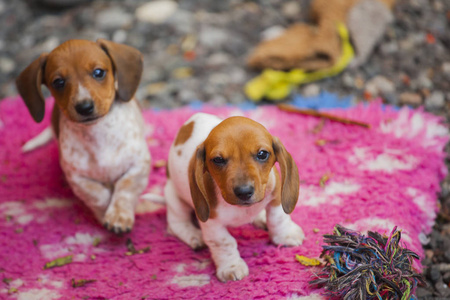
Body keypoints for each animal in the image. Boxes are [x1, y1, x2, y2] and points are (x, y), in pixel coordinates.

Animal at [15, 38, 151, 233]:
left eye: (98, 72)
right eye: (58, 82)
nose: (84, 107)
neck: (98, 133)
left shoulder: (138, 165)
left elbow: (125, 189)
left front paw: (119, 216)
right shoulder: (77, 178)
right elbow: (98, 195)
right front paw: (104, 213)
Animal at [163, 112, 304, 282]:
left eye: (262, 154)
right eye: (218, 159)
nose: (244, 191)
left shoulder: (276, 197)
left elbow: (278, 219)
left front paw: (285, 235)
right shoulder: (212, 222)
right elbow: (224, 242)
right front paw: (231, 266)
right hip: (174, 199)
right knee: (175, 225)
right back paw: (193, 236)